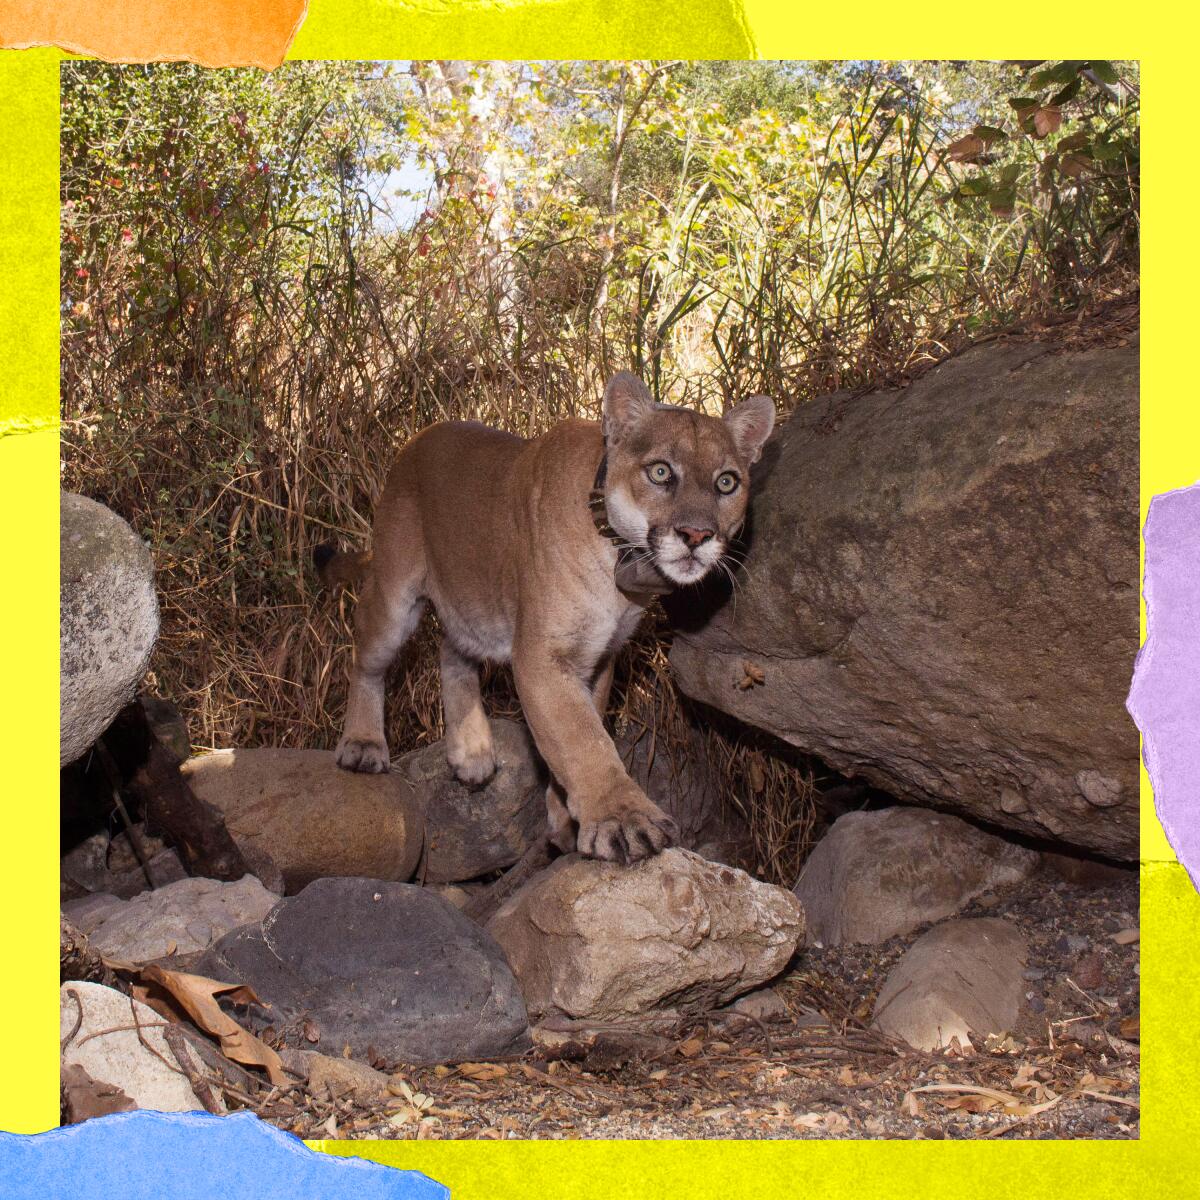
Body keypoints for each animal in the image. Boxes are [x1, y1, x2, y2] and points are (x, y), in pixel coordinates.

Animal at [314, 374, 772, 864]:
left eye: (727, 482)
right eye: (661, 472)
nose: (697, 535)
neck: (619, 556)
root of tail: (418, 438)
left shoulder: (599, 656)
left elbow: (578, 730)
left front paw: (565, 818)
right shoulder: (543, 656)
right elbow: (581, 737)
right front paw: (623, 820)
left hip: (473, 597)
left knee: (451, 650)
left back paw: (471, 750)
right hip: (394, 595)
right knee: (366, 658)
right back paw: (363, 745)